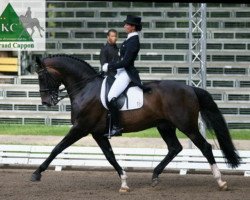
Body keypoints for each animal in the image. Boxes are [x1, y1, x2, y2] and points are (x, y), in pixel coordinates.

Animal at [31, 54, 240, 192]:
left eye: (41, 76)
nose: (46, 102)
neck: (85, 88)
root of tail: (190, 88)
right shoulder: (97, 133)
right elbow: (110, 156)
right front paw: (124, 182)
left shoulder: (81, 128)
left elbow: (57, 148)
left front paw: (37, 173)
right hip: (164, 125)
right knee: (174, 148)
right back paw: (155, 176)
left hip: (186, 125)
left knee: (205, 147)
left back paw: (220, 181)